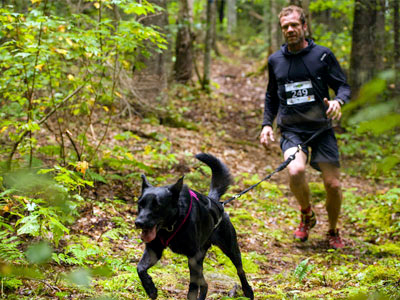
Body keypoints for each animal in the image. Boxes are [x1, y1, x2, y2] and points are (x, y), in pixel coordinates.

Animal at [134, 154, 253, 298]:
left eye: (157, 206)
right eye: (140, 204)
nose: (138, 223)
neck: (172, 225)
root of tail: (218, 204)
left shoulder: (192, 257)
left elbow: (192, 289)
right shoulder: (154, 250)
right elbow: (140, 268)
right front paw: (150, 288)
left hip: (230, 249)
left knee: (240, 271)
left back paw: (248, 291)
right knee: (205, 284)